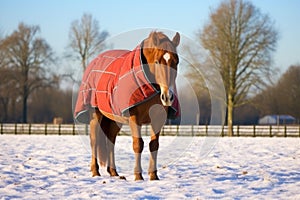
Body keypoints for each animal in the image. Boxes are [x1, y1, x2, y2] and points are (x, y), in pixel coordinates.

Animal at [74, 31, 180, 181]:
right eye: (157, 61)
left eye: (176, 62)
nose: (168, 97)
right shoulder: (134, 118)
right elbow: (138, 145)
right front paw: (138, 176)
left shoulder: (158, 119)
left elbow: (154, 145)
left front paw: (153, 176)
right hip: (95, 115)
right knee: (94, 141)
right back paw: (95, 172)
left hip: (114, 119)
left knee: (110, 141)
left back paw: (114, 172)